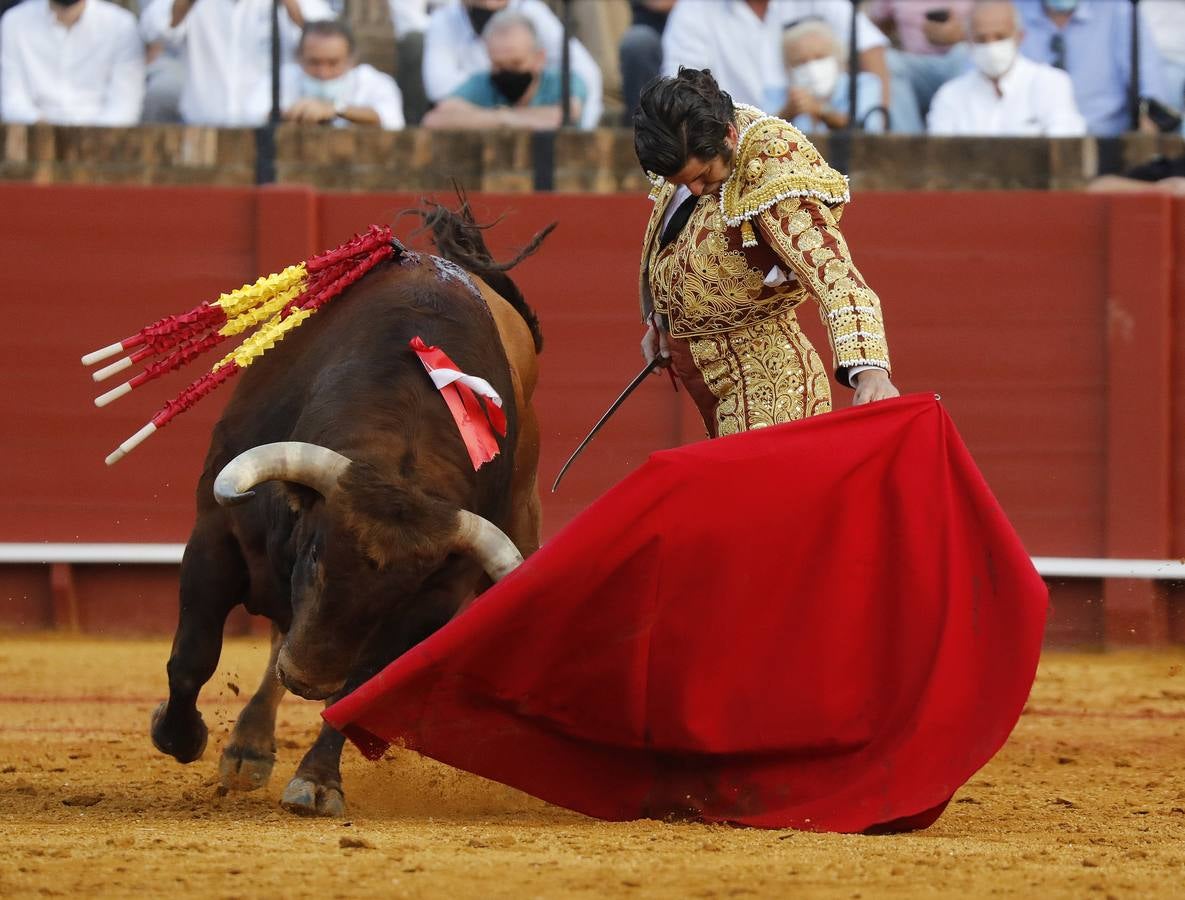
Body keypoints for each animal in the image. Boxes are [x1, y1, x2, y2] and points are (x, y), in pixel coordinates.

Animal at [146, 203, 545, 815]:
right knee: (271, 643)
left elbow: (359, 693)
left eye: (396, 595)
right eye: (314, 556)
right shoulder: (216, 535)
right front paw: (179, 736)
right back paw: (247, 748)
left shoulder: (427, 608)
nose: (310, 680)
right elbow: (194, 653)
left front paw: (316, 781)